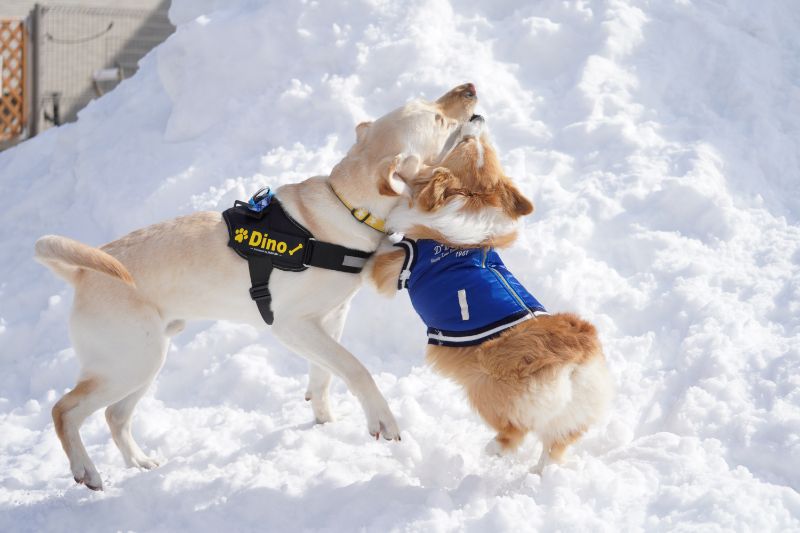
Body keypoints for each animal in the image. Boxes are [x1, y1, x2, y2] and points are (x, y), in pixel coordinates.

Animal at [34, 84, 478, 490]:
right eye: (437, 119)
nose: (469, 88)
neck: (348, 206)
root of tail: (83, 272)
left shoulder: (330, 318)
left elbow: (326, 372)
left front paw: (323, 417)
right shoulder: (291, 324)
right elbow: (355, 367)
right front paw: (381, 419)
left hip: (146, 359)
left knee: (115, 416)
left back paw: (140, 462)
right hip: (128, 362)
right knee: (64, 410)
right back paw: (86, 470)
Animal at [370, 116, 612, 470]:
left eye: (466, 144)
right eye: (485, 145)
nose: (477, 117)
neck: (474, 199)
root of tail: (576, 361)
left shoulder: (397, 266)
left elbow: (379, 255)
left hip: (482, 386)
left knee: (515, 433)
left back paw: (493, 449)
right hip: (570, 419)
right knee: (554, 448)